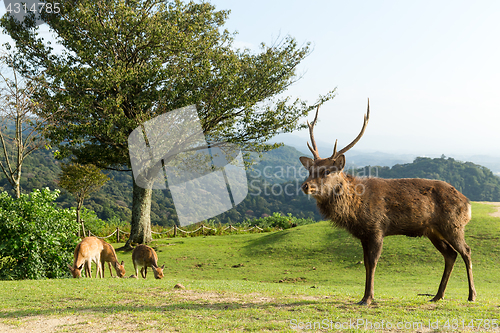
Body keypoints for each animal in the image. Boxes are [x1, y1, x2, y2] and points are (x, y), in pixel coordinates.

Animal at [300, 100, 476, 304]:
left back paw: (471, 295)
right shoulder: (363, 234)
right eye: (310, 170)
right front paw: (364, 296)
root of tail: (467, 204)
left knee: (466, 251)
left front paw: (368, 298)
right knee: (451, 254)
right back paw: (437, 296)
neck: (356, 209)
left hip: (453, 224)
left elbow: (373, 262)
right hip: (433, 230)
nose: (305, 186)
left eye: (327, 171)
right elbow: (366, 264)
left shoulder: (377, 227)